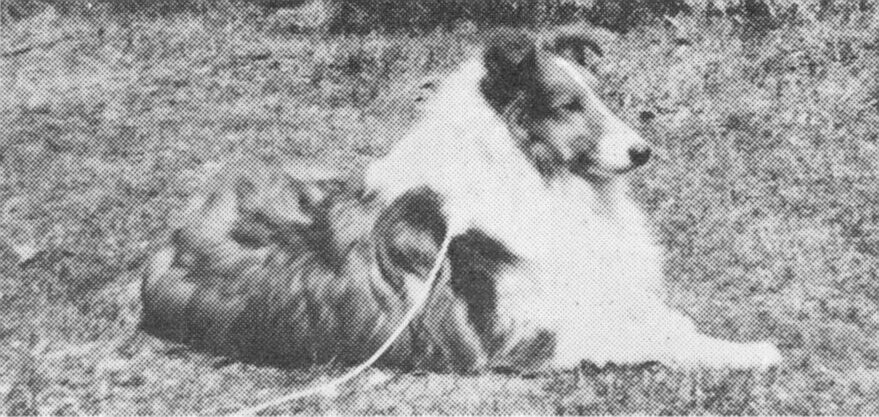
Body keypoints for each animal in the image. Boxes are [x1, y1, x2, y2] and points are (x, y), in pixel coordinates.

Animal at [140, 30, 783, 372]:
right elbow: (651, 336)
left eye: (600, 96)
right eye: (568, 106)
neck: (533, 176)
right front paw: (750, 351)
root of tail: (167, 240)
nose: (643, 151)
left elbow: (662, 318)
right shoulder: (519, 335)